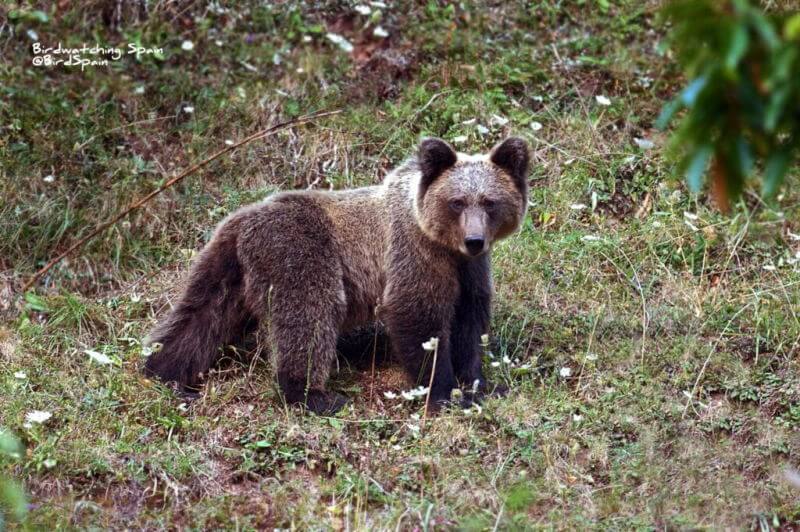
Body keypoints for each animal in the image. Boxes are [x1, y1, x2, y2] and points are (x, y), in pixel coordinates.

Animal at [144, 135, 532, 414]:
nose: (474, 240)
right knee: (309, 318)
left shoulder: (468, 270)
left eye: (490, 202)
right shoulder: (415, 253)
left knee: (200, 317)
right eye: (457, 201)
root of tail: (244, 218)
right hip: (302, 253)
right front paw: (443, 392)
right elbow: (417, 315)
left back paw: (163, 370)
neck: (443, 243)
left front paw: (480, 384)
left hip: (229, 270)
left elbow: (470, 321)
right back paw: (315, 396)